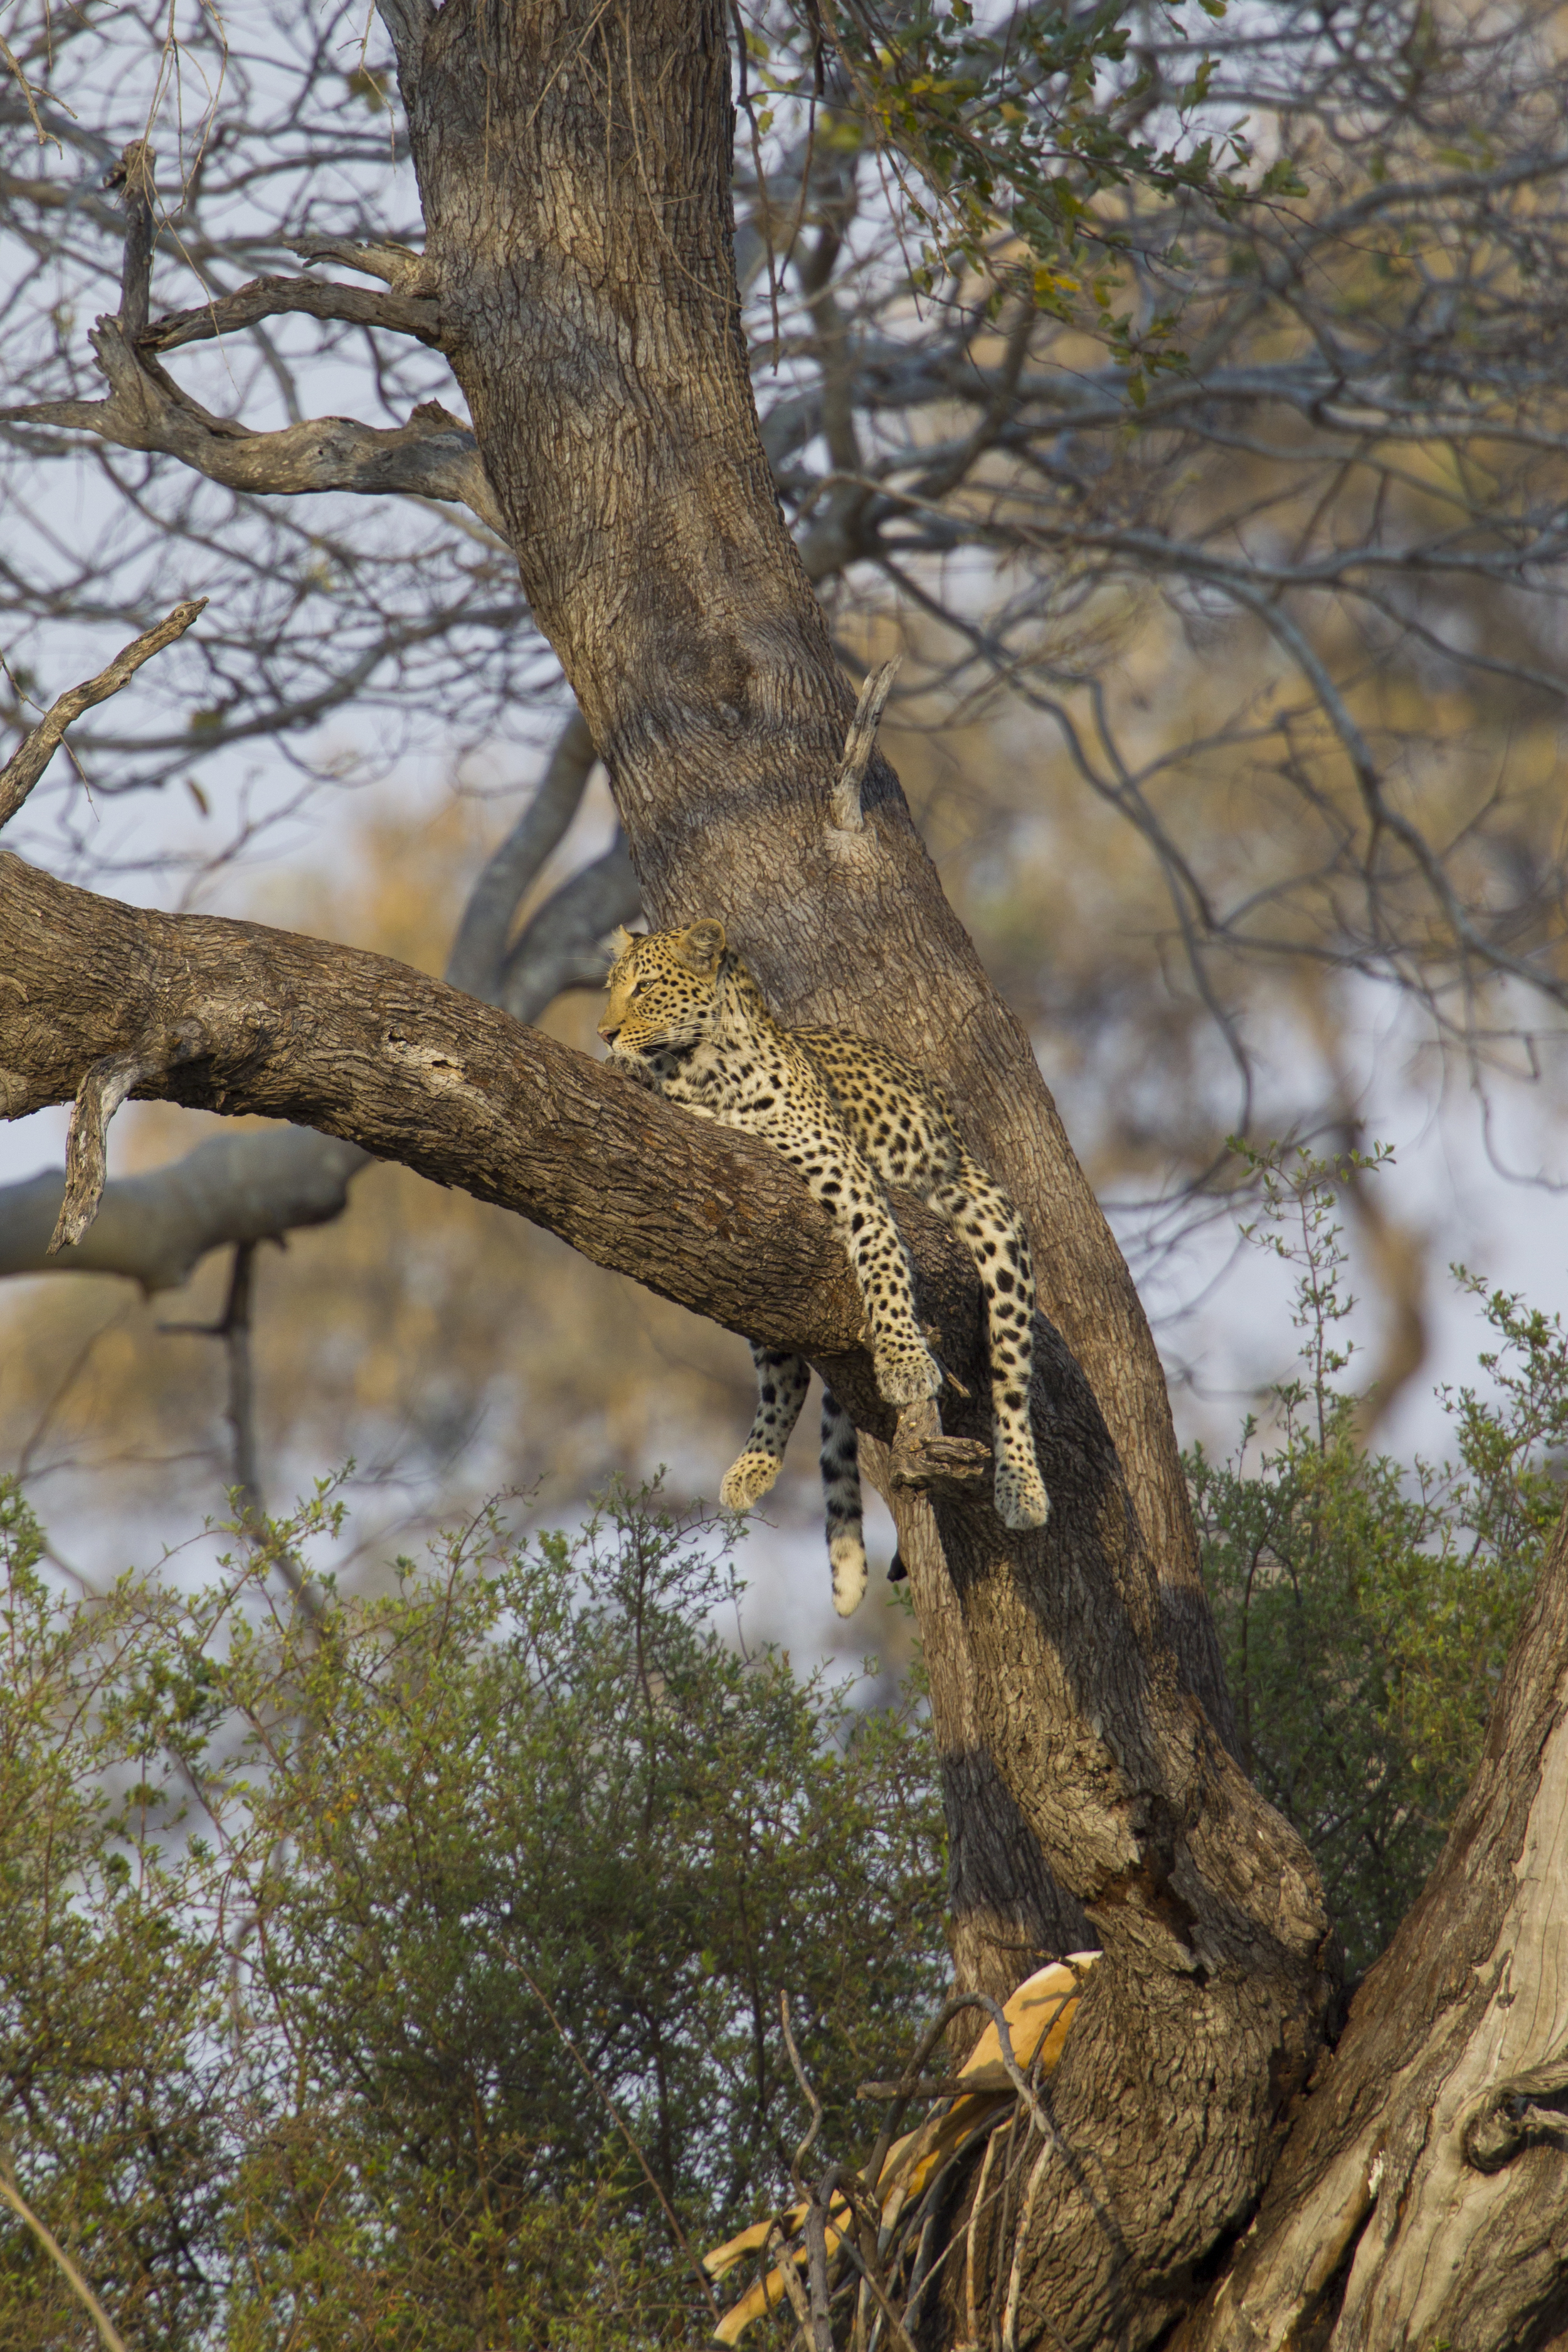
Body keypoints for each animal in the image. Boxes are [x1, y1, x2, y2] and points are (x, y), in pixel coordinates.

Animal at [601, 917, 1053, 1618]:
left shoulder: (853, 1179)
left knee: (1011, 1374)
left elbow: (885, 1265)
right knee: (782, 1371)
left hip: (991, 1220)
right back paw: (754, 1465)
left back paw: (1020, 1486)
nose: (603, 1033)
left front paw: (903, 1365)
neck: (706, 1069)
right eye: (611, 988)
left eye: (644, 988)